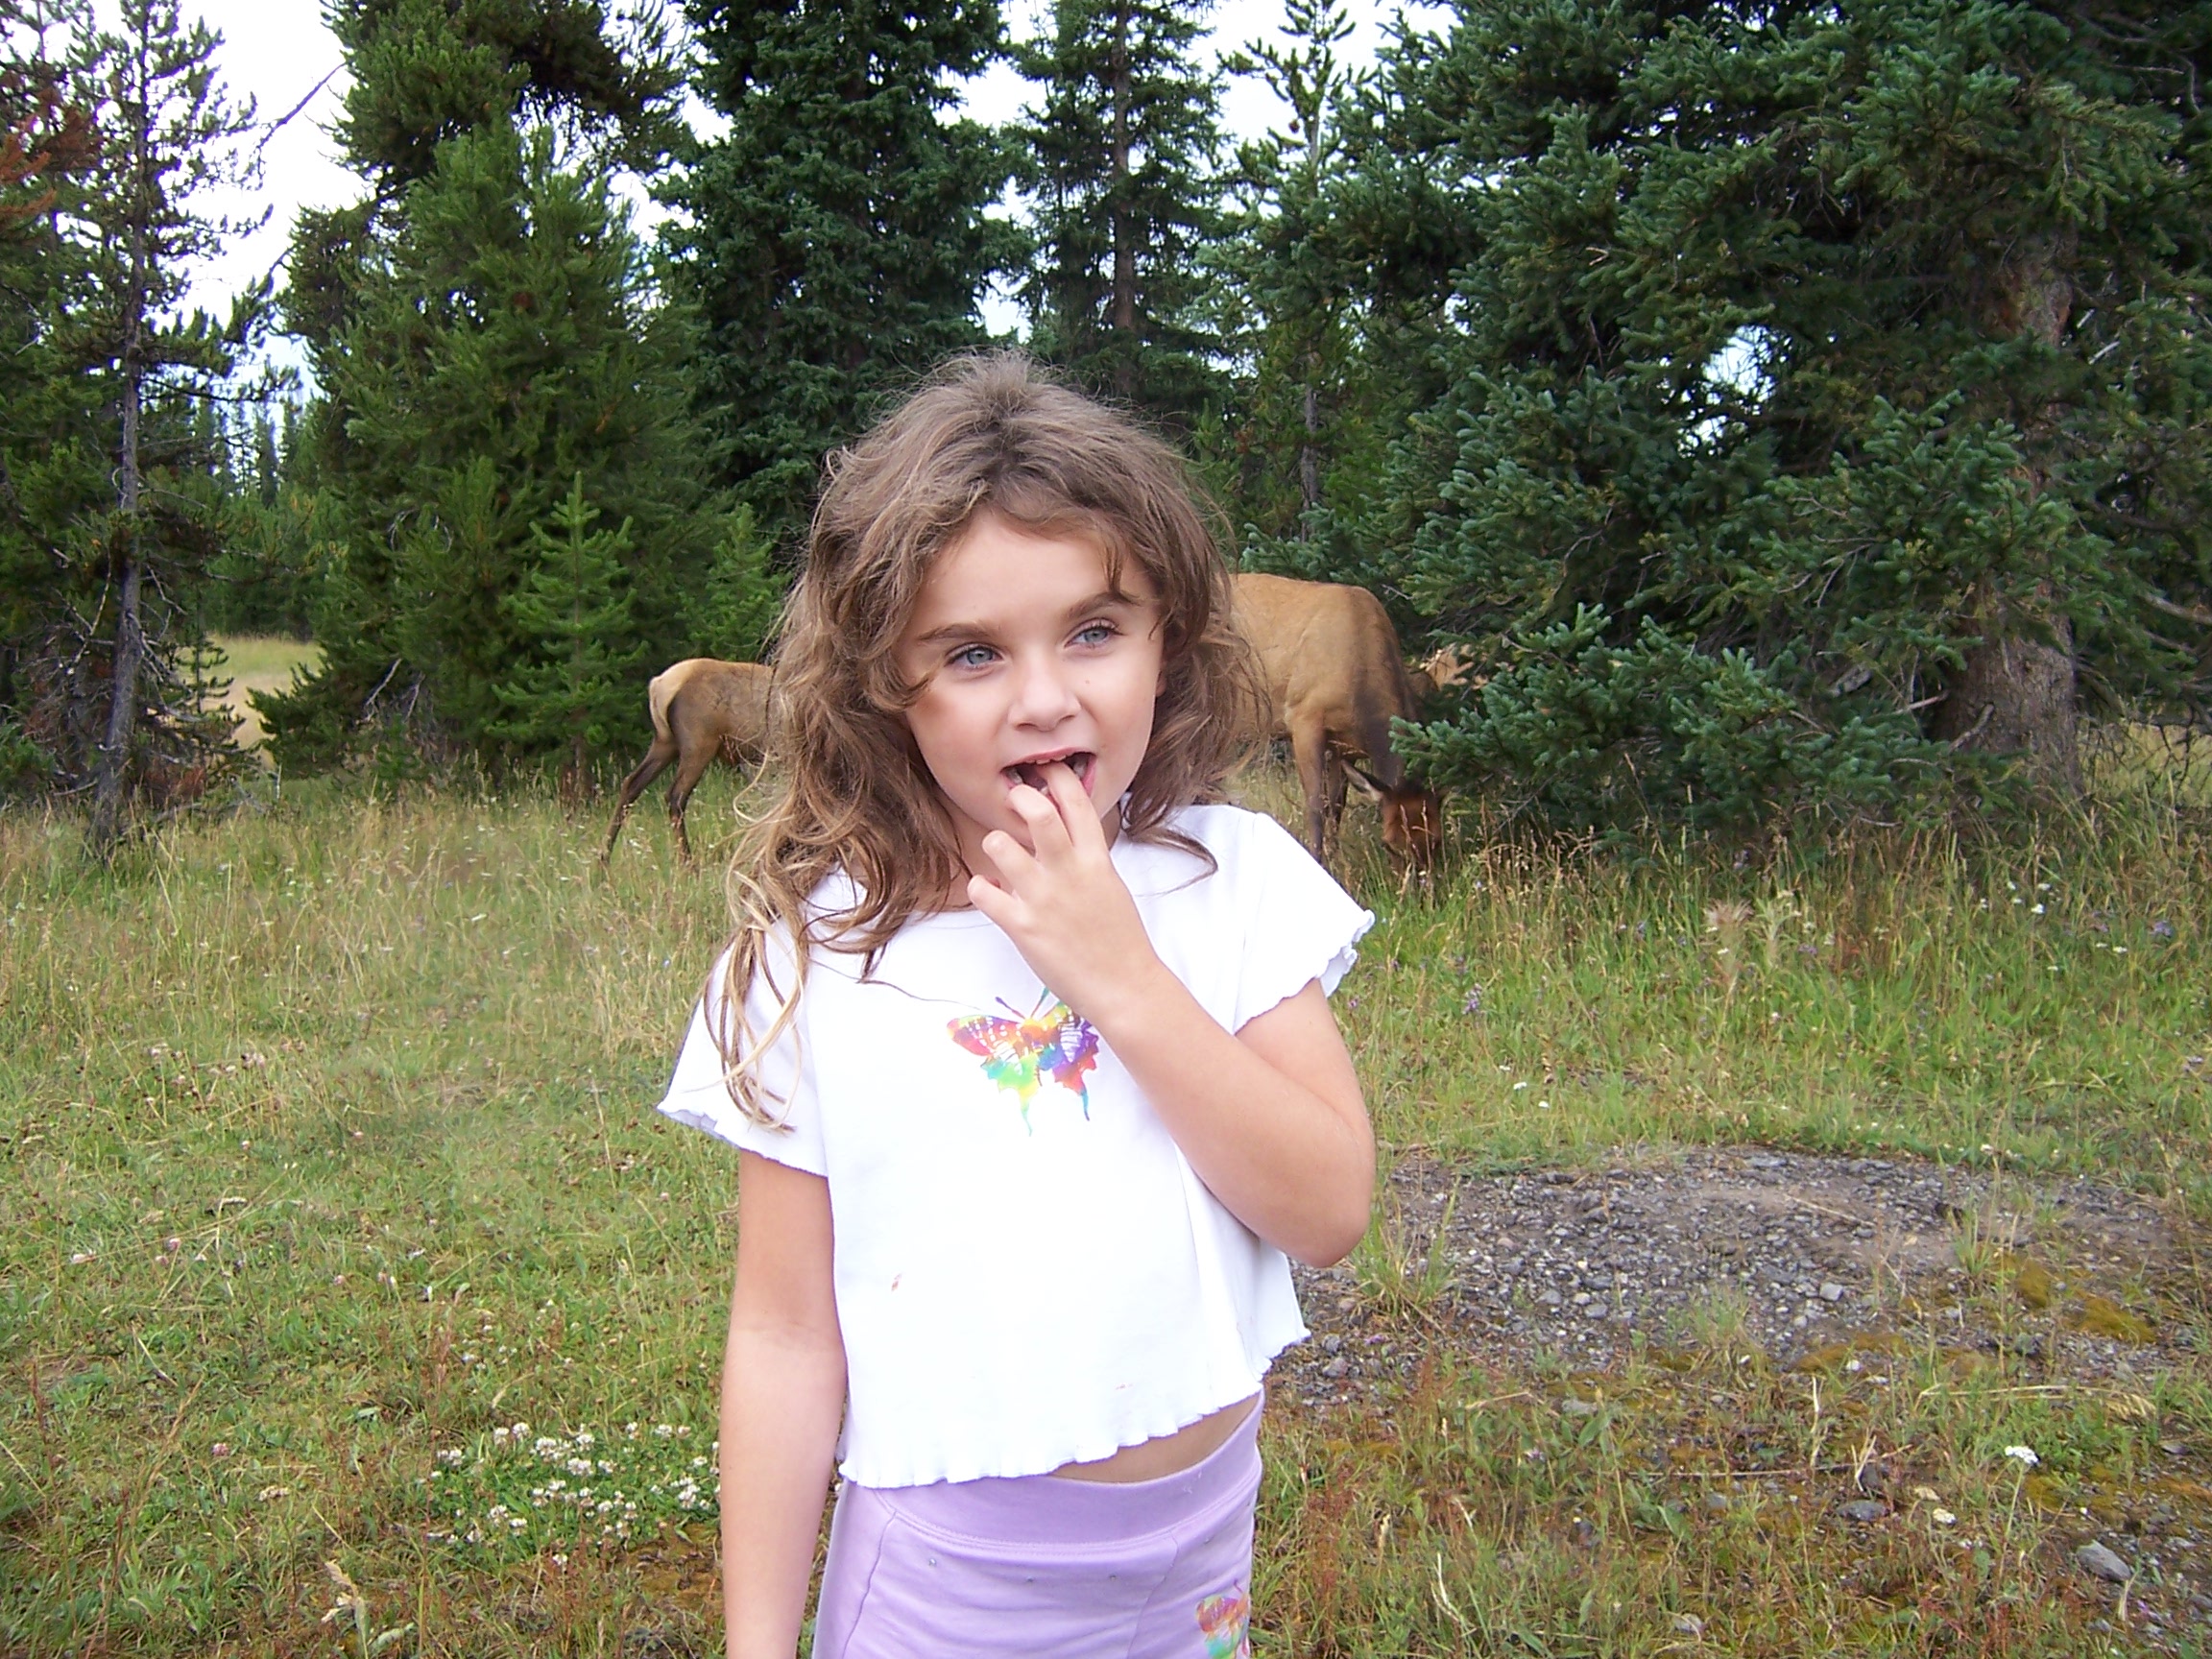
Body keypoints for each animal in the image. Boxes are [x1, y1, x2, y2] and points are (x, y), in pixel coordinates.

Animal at [601, 659, 774, 871]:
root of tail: (657, 685)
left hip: (665, 742)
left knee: (631, 783)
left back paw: (603, 859)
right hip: (699, 744)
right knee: (675, 795)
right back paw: (689, 864)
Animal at [1230, 575, 1451, 884]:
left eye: (1436, 841)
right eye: (1388, 844)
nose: (1420, 890)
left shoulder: (1345, 746)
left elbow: (1336, 807)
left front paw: (1334, 862)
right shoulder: (1304, 717)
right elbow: (1315, 807)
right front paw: (1317, 863)